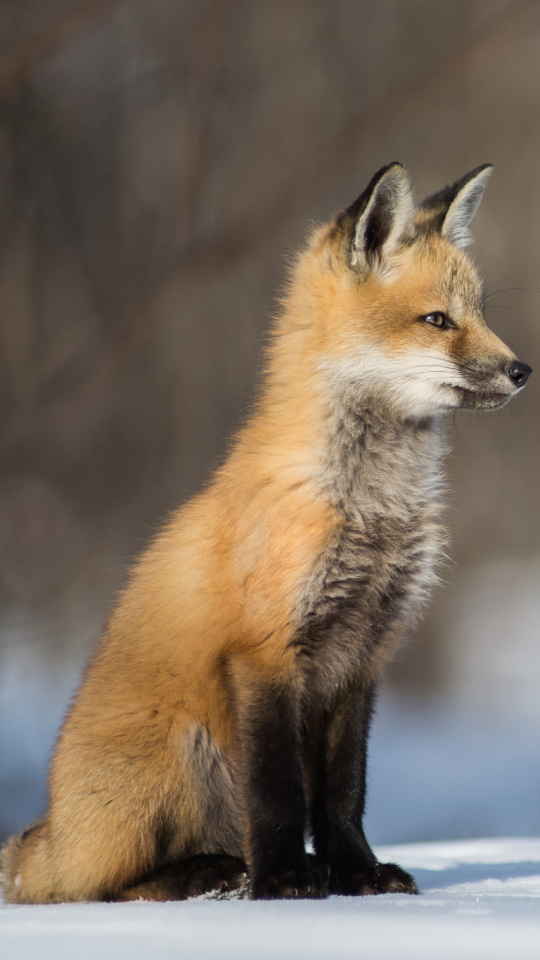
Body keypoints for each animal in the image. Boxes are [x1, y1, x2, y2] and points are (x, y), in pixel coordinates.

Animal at [0, 161, 532, 904]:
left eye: (481, 313)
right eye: (437, 320)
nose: (523, 370)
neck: (370, 510)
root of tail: (46, 834)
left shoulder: (362, 657)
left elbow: (342, 792)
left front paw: (356, 873)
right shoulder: (267, 652)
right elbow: (279, 791)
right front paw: (284, 880)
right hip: (179, 755)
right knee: (103, 889)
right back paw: (213, 873)